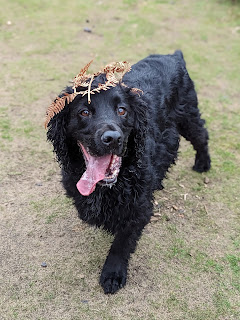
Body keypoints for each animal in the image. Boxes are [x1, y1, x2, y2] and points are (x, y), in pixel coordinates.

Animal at [46, 51, 210, 294]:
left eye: (122, 110)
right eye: (84, 112)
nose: (113, 138)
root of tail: (173, 55)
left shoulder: (139, 205)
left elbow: (123, 240)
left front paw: (113, 273)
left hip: (188, 115)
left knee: (202, 136)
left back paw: (203, 163)